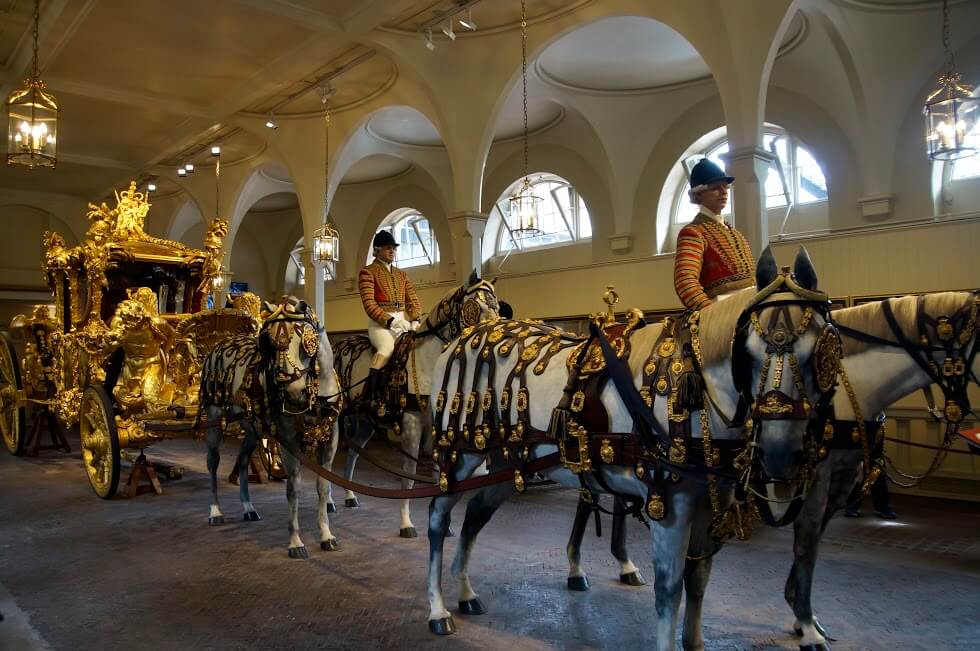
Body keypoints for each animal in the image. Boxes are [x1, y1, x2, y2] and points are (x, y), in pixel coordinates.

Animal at [199, 300, 344, 560]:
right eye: (271, 344)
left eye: (305, 340)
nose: (294, 393)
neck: (317, 396)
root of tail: (220, 345)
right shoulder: (288, 440)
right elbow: (293, 488)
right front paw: (295, 542)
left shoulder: (331, 439)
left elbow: (323, 487)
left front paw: (327, 535)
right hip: (214, 416)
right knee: (213, 462)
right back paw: (215, 511)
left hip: (252, 428)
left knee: (243, 459)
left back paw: (248, 507)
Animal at [334, 272, 502, 536]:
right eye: (476, 305)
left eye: (497, 305)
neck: (428, 362)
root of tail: (340, 345)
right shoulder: (412, 425)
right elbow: (409, 476)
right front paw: (406, 523)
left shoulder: (434, 428)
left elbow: (437, 474)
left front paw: (444, 524)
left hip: (366, 422)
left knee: (353, 453)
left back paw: (350, 496)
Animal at [424, 247, 840, 648]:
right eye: (748, 353)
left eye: (822, 351)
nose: (780, 455)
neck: (696, 383)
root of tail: (463, 338)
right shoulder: (670, 505)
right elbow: (669, 590)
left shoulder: (711, 499)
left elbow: (699, 578)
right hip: (459, 456)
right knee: (438, 519)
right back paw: (438, 609)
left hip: (506, 465)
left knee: (475, 515)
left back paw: (465, 593)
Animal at [780, 292, 980, 651]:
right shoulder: (814, 479)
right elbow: (806, 545)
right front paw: (808, 626)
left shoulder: (843, 478)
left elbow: (814, 540)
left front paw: (804, 617)